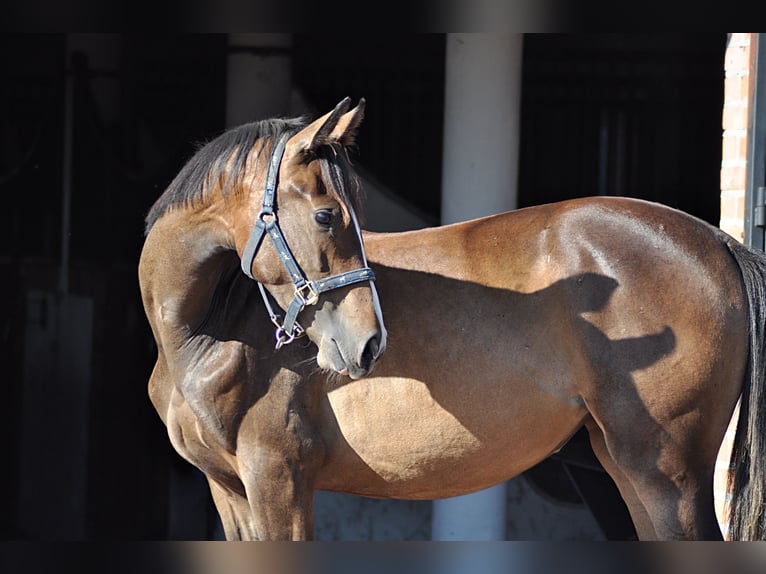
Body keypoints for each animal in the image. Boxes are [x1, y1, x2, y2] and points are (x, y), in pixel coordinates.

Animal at [141, 106, 766, 544]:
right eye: (324, 214)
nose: (369, 342)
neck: (207, 331)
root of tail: (716, 240)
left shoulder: (278, 480)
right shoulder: (232, 491)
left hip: (668, 474)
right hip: (625, 466)